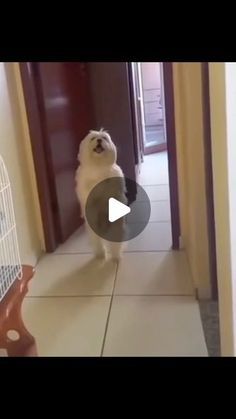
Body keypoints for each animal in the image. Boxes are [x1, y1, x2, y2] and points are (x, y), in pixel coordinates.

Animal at [75, 128, 127, 260]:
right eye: (93, 138)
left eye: (104, 138)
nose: (99, 140)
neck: (98, 166)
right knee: (97, 240)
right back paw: (100, 254)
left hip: (115, 225)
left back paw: (115, 256)